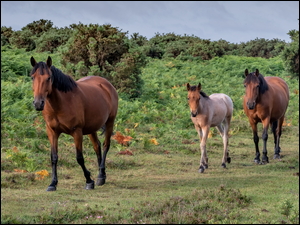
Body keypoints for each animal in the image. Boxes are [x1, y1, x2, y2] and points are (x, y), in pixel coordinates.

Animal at [29, 56, 118, 192]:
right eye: (33, 77)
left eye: (48, 78)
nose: (38, 103)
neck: (61, 103)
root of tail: (106, 84)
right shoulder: (52, 132)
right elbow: (54, 157)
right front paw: (52, 183)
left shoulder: (77, 132)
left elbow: (79, 158)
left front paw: (89, 181)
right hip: (92, 128)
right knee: (97, 146)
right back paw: (100, 175)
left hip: (110, 122)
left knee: (105, 146)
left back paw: (101, 176)